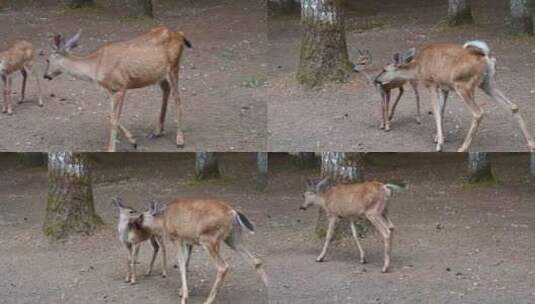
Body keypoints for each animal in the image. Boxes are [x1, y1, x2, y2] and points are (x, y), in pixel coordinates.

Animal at [44, 27, 192, 152]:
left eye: (47, 60)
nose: (45, 75)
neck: (95, 67)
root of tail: (180, 34)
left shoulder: (121, 86)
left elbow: (114, 119)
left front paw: (112, 149)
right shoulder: (112, 90)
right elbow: (111, 115)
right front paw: (133, 141)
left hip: (174, 66)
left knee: (177, 97)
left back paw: (180, 140)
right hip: (159, 75)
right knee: (166, 90)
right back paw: (157, 131)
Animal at [141, 198, 270, 304]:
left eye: (141, 216)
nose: (137, 223)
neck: (164, 220)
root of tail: (233, 213)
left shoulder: (177, 238)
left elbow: (181, 265)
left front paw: (184, 297)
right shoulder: (186, 241)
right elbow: (185, 263)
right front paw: (181, 292)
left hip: (208, 240)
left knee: (223, 266)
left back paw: (208, 300)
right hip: (233, 239)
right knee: (256, 261)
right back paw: (268, 295)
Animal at [374, 41, 535, 152]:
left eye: (384, 69)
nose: (376, 80)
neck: (418, 68)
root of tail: (487, 58)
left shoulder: (431, 84)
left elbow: (436, 112)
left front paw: (439, 144)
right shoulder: (444, 87)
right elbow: (441, 111)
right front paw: (438, 138)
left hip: (463, 85)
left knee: (478, 112)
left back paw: (463, 148)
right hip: (487, 83)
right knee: (513, 106)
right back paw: (531, 143)